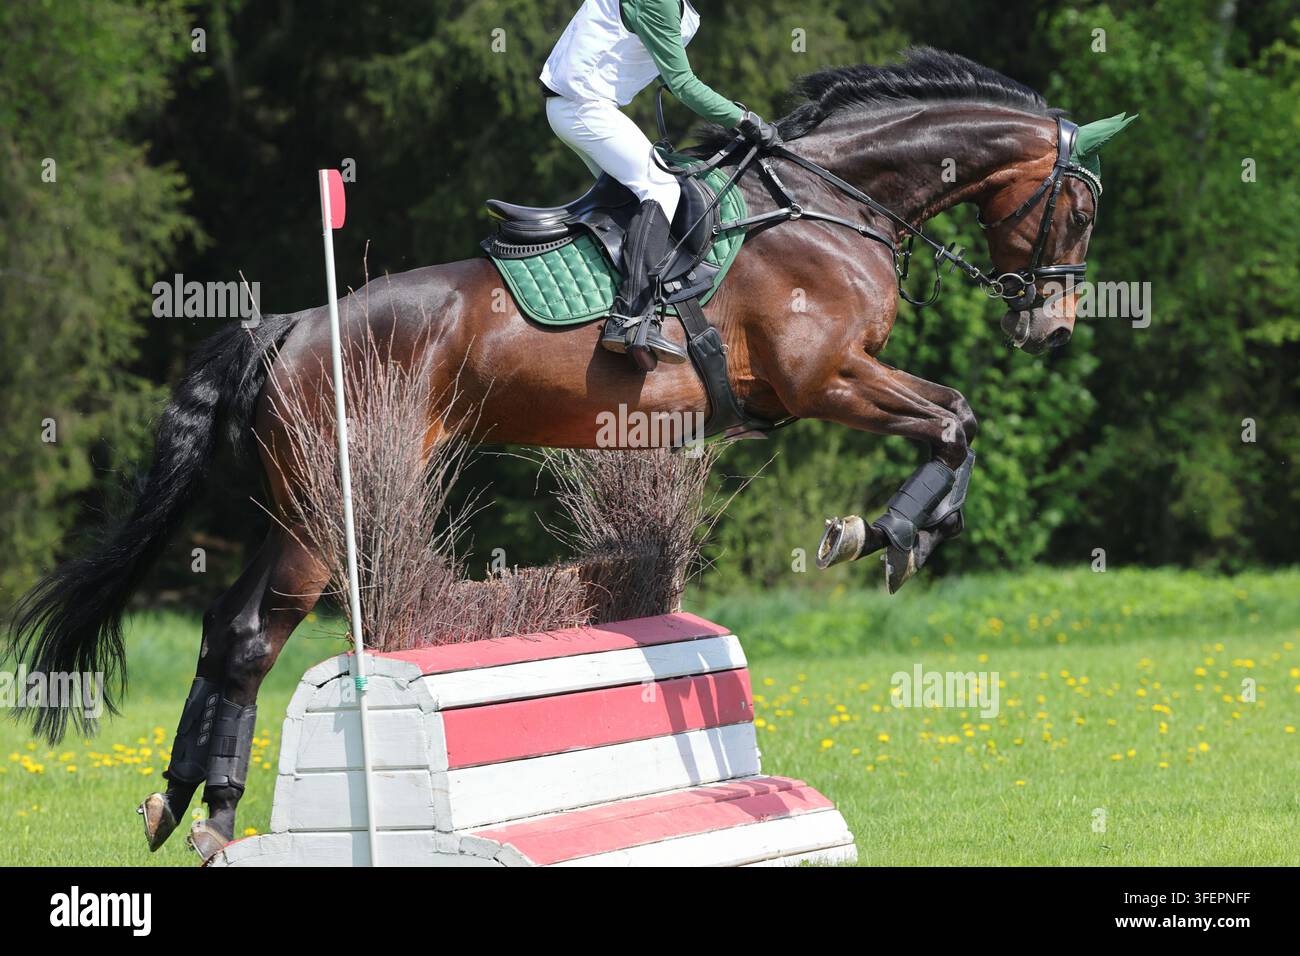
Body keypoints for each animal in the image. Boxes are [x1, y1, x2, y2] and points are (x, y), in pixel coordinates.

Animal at [8, 49, 1134, 860]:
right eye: (1079, 206)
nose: (1052, 328)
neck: (831, 203)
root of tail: (286, 327)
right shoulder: (828, 380)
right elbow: (956, 419)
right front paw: (884, 533)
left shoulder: (835, 384)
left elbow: (959, 421)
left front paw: (901, 533)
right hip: (328, 512)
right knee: (249, 638)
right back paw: (211, 815)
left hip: (298, 510)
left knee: (225, 628)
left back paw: (181, 802)